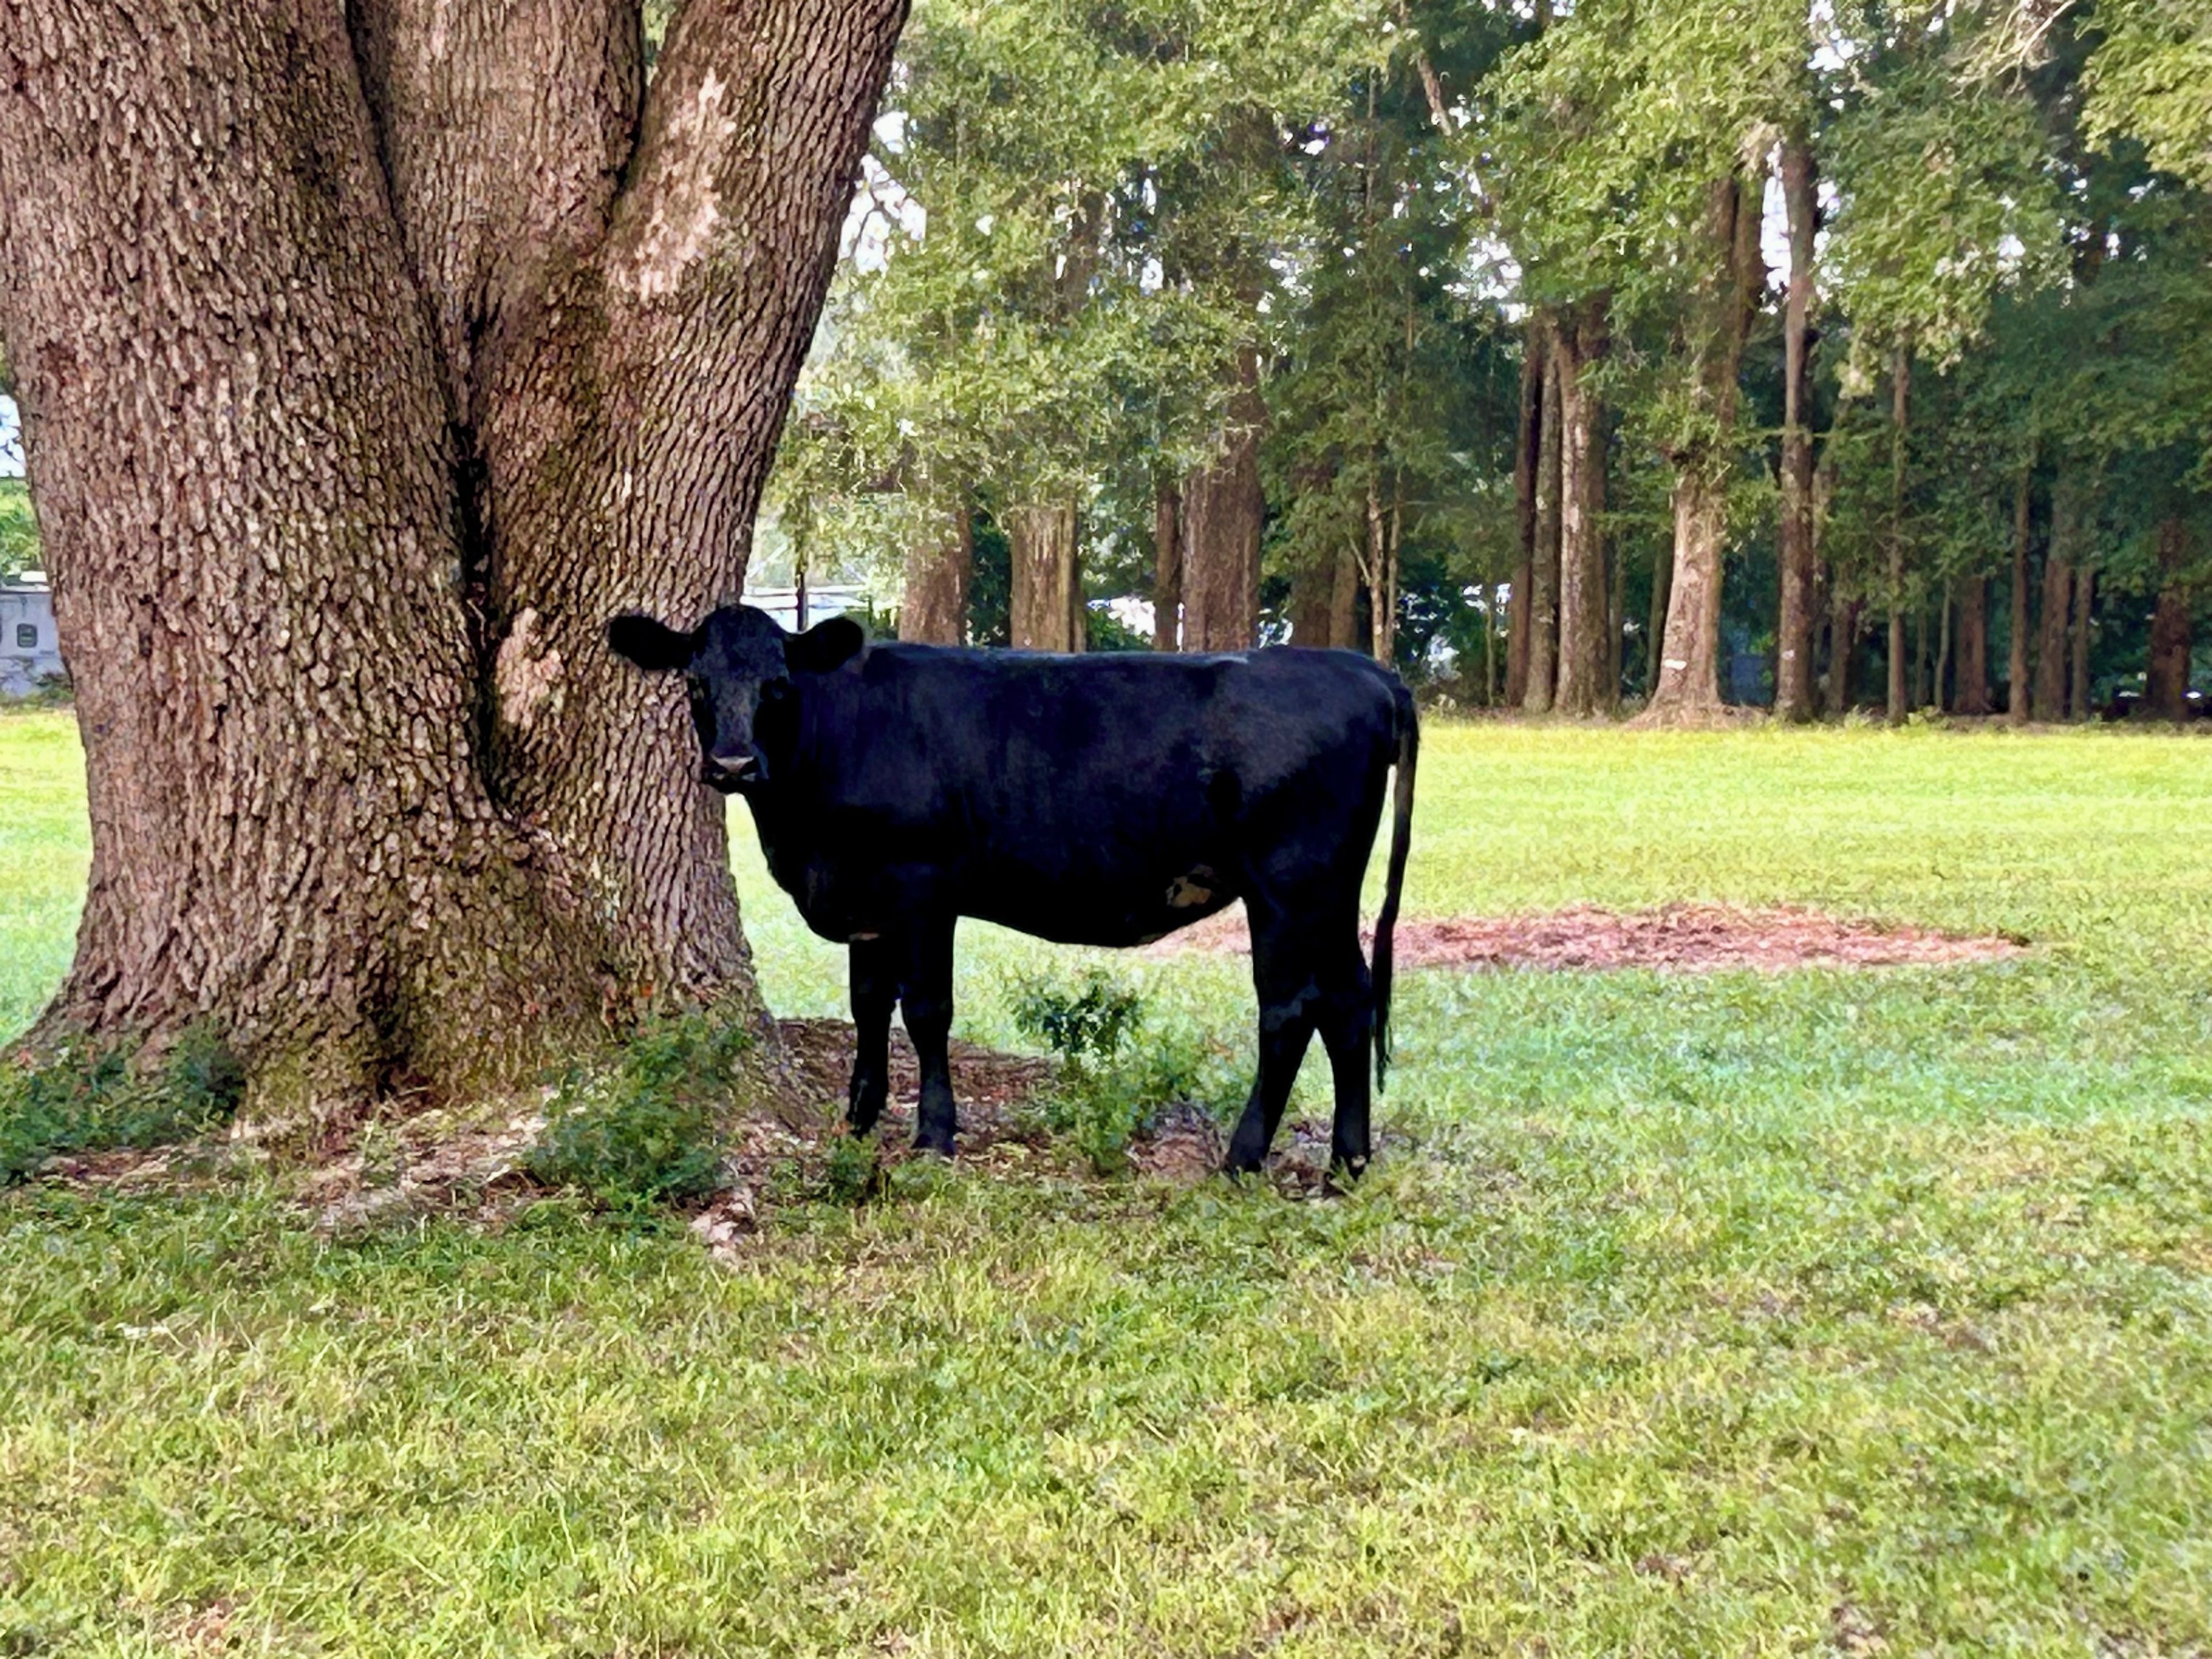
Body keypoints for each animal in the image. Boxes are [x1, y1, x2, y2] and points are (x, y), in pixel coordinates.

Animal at [608, 605, 1417, 1178]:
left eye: (780, 683)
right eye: (694, 682)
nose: (733, 764)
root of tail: (1359, 668)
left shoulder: (921, 890)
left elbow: (926, 1011)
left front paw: (934, 1137)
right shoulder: (865, 901)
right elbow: (868, 1007)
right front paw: (858, 1122)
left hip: (1287, 887)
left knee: (1288, 1012)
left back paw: (1243, 1160)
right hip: (1328, 896)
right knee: (1350, 1002)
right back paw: (1347, 1163)